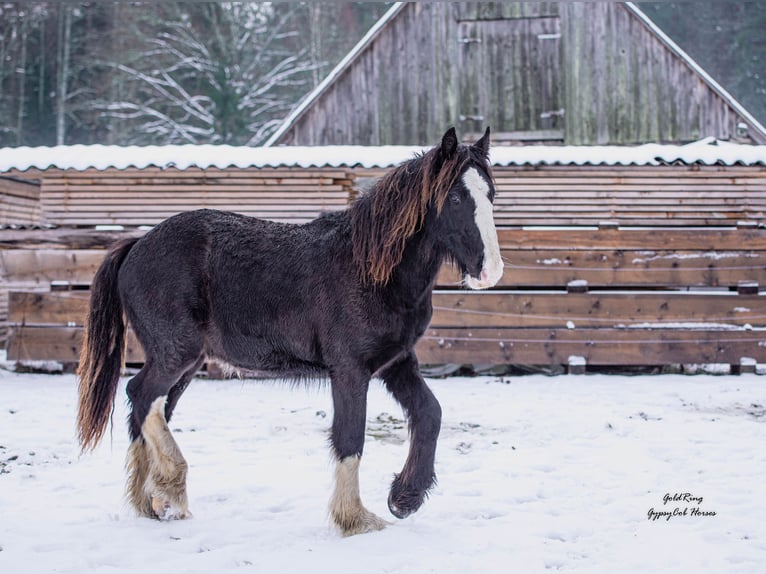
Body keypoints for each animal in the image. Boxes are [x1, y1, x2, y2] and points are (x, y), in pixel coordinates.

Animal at [76, 126, 504, 536]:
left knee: (147, 411)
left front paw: (404, 498)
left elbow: (430, 413)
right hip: (175, 353)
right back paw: (171, 487)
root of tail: (136, 245)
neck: (371, 269)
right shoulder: (350, 369)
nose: (490, 271)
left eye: (491, 194)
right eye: (455, 198)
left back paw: (153, 503)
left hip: (186, 363)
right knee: (141, 395)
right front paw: (354, 519)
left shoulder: (396, 363)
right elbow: (350, 437)